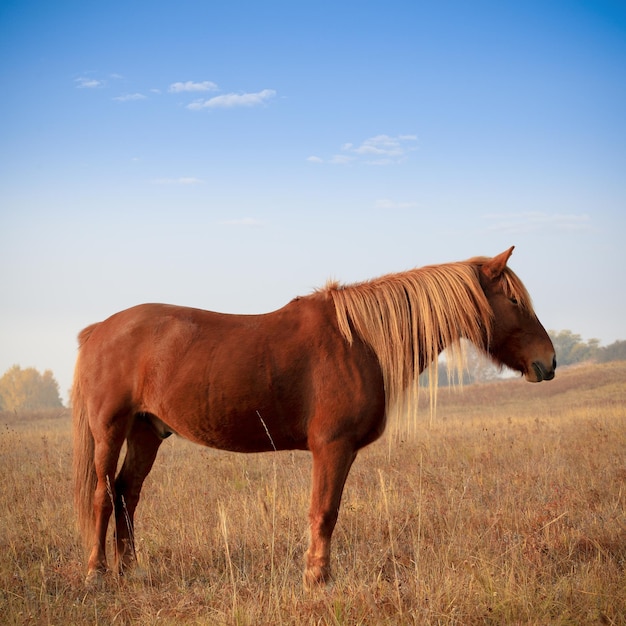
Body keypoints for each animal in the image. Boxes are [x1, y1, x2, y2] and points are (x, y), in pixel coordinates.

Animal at [73, 245, 556, 584]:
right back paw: (97, 573)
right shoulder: (332, 447)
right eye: (514, 300)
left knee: (127, 493)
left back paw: (131, 570)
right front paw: (317, 579)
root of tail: (99, 329)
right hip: (110, 429)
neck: (360, 342)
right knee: (102, 495)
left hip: (146, 431)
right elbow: (324, 512)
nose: (548, 362)